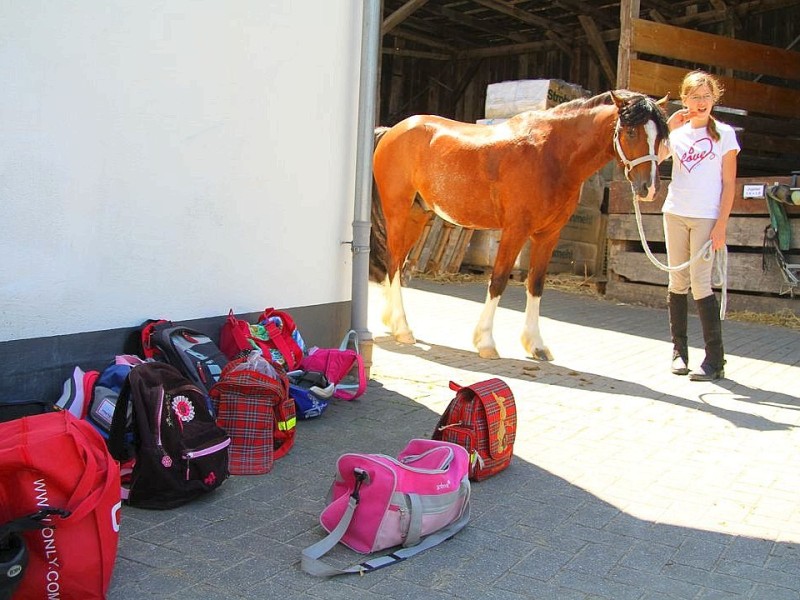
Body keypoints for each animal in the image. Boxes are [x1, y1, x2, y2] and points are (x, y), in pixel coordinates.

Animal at [370, 89, 668, 358]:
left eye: (661, 137)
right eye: (631, 132)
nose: (650, 189)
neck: (551, 154)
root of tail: (393, 131)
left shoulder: (548, 235)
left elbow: (535, 284)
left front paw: (536, 346)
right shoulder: (516, 230)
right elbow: (499, 280)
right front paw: (486, 342)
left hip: (417, 216)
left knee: (398, 262)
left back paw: (394, 323)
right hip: (397, 212)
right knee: (394, 263)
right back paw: (404, 330)